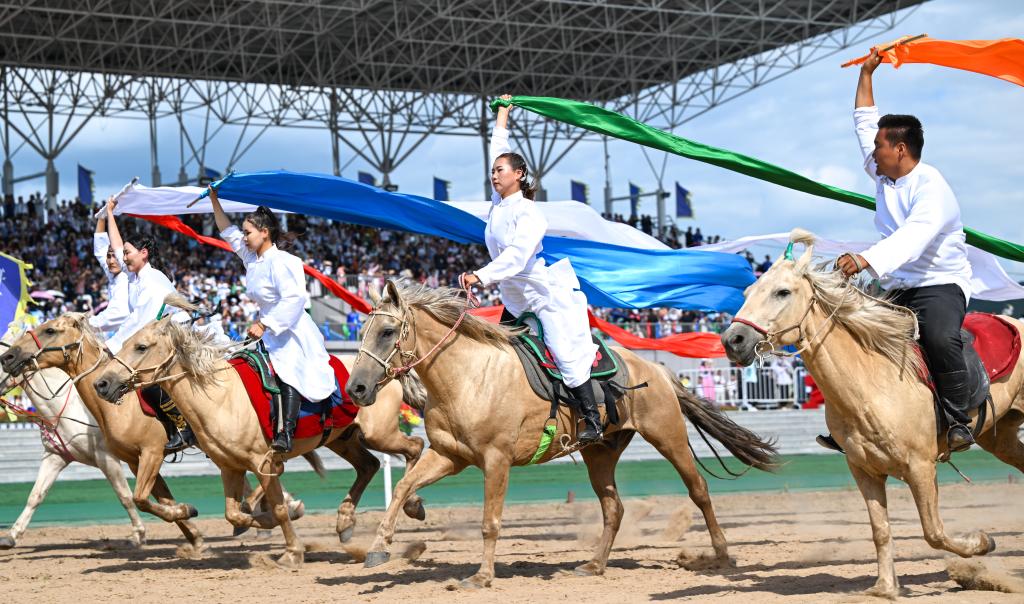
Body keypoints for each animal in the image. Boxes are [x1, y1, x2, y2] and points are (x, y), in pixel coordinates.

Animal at [1, 329, 146, 549]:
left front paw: (139, 533)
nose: (6, 360)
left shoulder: (107, 458)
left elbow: (125, 496)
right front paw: (12, 535)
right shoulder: (55, 456)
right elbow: (35, 496)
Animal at [89, 296, 429, 568]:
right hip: (341, 439)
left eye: (141, 346)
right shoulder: (229, 467)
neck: (220, 397)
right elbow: (233, 513)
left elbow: (276, 507)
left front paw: (292, 550)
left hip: (378, 434)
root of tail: (388, 372)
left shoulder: (262, 463)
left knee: (414, 446)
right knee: (369, 465)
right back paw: (345, 521)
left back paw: (412, 504)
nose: (102, 384)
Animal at [343, 279, 778, 588]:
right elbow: (402, 488)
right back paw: (594, 565)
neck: (469, 375)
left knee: (699, 490)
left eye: (386, 331)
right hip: (600, 453)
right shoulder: (449, 456)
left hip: (668, 436)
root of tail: (655, 368)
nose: (357, 389)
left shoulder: (495, 460)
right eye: (362, 330)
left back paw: (722, 555)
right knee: (614, 508)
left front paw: (482, 577)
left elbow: (490, 521)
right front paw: (380, 547)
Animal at [720, 228, 1024, 598]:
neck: (871, 384)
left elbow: (934, 531)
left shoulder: (921, 467)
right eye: (747, 293)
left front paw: (982, 543)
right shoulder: (863, 470)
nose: (733, 340)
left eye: (782, 292)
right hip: (1002, 439)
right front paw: (884, 588)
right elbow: (881, 529)